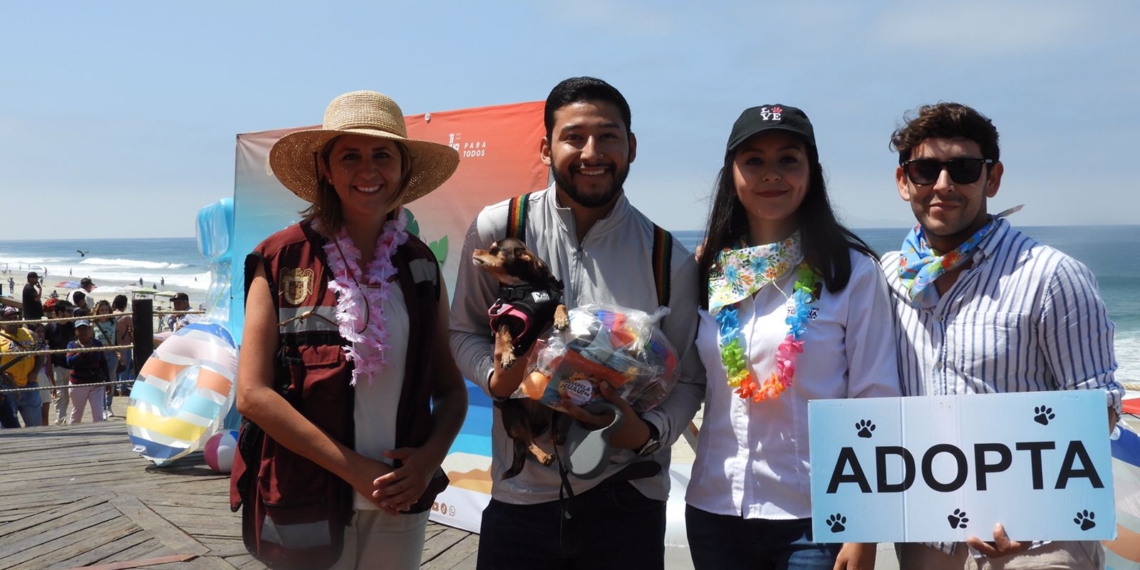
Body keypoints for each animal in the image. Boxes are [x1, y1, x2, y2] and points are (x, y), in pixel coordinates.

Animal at [471, 238, 570, 478]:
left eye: (493, 250)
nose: (476, 249)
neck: (523, 288)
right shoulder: (505, 318)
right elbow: (506, 335)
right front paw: (507, 355)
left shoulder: (550, 305)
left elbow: (560, 305)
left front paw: (561, 319)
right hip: (516, 418)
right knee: (528, 443)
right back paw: (544, 456)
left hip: (552, 404)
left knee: (549, 431)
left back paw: (558, 436)